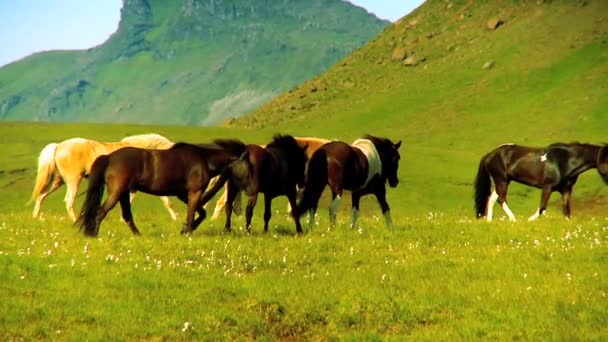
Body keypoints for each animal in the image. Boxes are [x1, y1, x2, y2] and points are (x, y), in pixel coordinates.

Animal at [30, 132, 177, 220]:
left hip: (59, 181)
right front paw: (176, 219)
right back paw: (75, 220)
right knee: (68, 200)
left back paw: (36, 217)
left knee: (41, 196)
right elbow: (166, 201)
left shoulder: (132, 187)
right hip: (74, 179)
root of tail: (59, 146)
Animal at [76, 140, 247, 236]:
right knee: (101, 212)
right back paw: (93, 234)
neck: (205, 160)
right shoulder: (194, 192)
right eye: (249, 165)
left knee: (126, 216)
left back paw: (138, 235)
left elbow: (201, 212)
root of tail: (109, 157)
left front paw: (185, 229)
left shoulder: (183, 194)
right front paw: (188, 232)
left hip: (123, 193)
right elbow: (192, 213)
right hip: (117, 192)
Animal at [476, 142, 608, 220]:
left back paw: (489, 221)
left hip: (503, 181)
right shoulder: (547, 187)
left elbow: (566, 211)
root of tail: (490, 154)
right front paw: (529, 220)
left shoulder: (566, 190)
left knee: (492, 199)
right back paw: (513, 219)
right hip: (501, 180)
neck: (565, 160)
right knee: (501, 199)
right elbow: (542, 208)